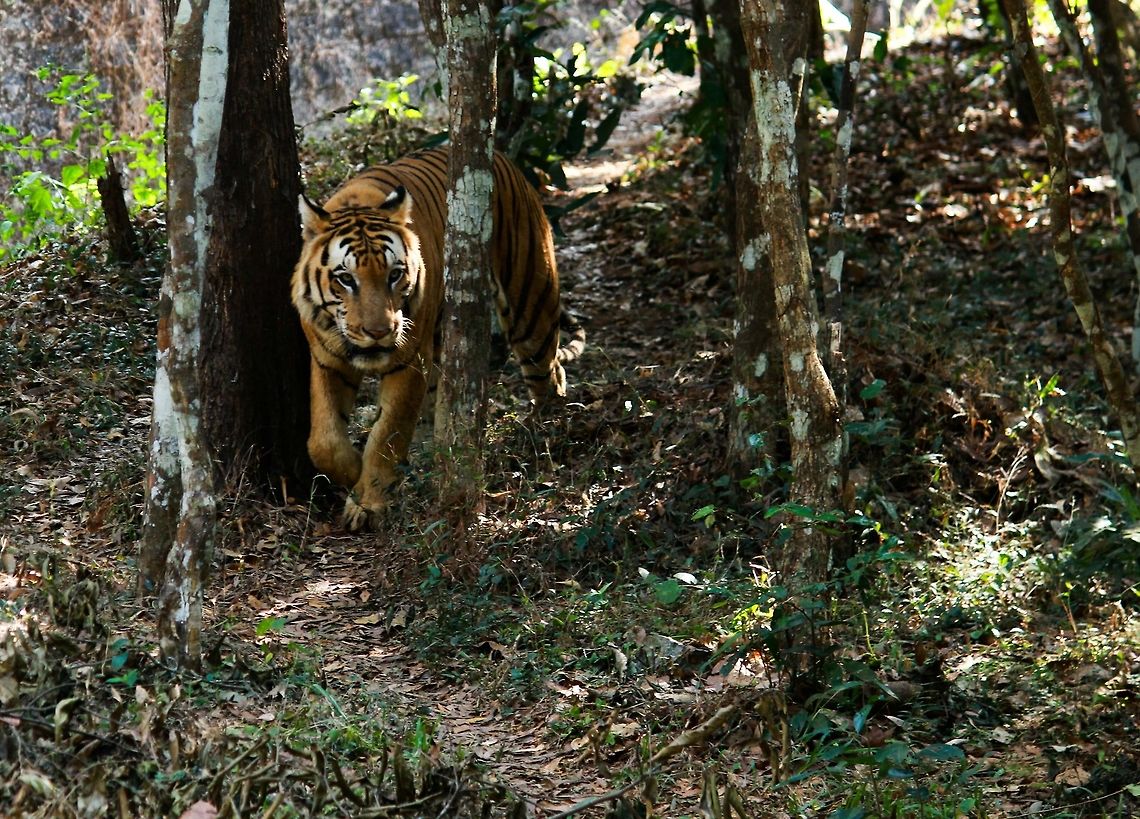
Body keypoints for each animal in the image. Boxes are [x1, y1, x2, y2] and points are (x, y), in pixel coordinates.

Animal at [291, 147, 585, 531]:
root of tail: (503, 159)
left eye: (394, 275)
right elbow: (323, 440)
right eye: (346, 279)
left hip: (530, 300)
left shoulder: (408, 361)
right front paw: (354, 470)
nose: (379, 332)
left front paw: (368, 500)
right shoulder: (326, 359)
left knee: (548, 372)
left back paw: (542, 432)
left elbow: (388, 433)